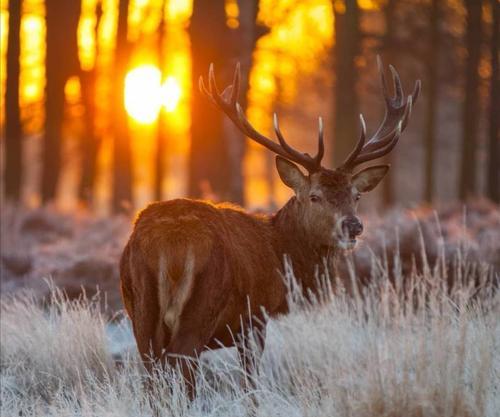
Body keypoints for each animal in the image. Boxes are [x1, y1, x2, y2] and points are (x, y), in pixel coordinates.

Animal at [120, 57, 418, 386]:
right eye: (314, 196)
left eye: (356, 195)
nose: (353, 226)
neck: (280, 254)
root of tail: (170, 243)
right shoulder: (255, 317)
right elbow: (251, 380)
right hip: (202, 305)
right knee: (182, 366)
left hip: (140, 307)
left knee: (152, 373)